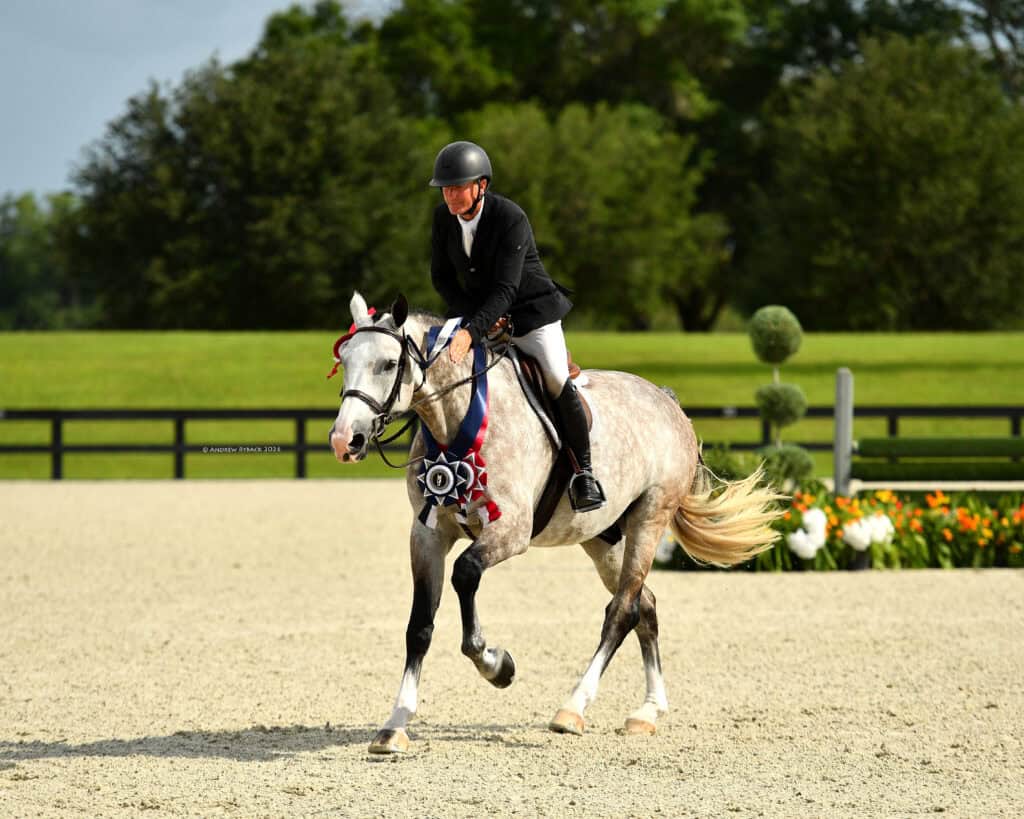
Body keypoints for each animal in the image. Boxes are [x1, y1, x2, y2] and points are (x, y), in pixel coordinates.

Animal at [328, 292, 783, 754]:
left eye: (388, 364)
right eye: (344, 359)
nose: (344, 440)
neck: (455, 423)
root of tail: (668, 401)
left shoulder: (511, 530)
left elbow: (466, 574)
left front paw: (497, 665)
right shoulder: (428, 533)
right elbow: (419, 626)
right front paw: (394, 725)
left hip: (649, 519)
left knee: (622, 611)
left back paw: (573, 708)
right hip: (603, 538)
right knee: (646, 606)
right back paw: (647, 711)